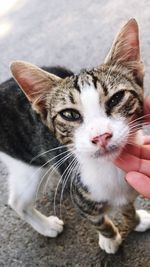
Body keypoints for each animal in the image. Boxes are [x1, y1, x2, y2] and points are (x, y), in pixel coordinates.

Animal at [0, 17, 150, 254]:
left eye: (117, 99)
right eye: (69, 114)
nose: (101, 136)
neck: (109, 169)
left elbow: (127, 206)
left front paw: (136, 219)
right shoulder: (81, 198)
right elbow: (99, 222)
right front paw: (110, 239)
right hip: (27, 163)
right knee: (17, 200)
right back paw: (46, 226)